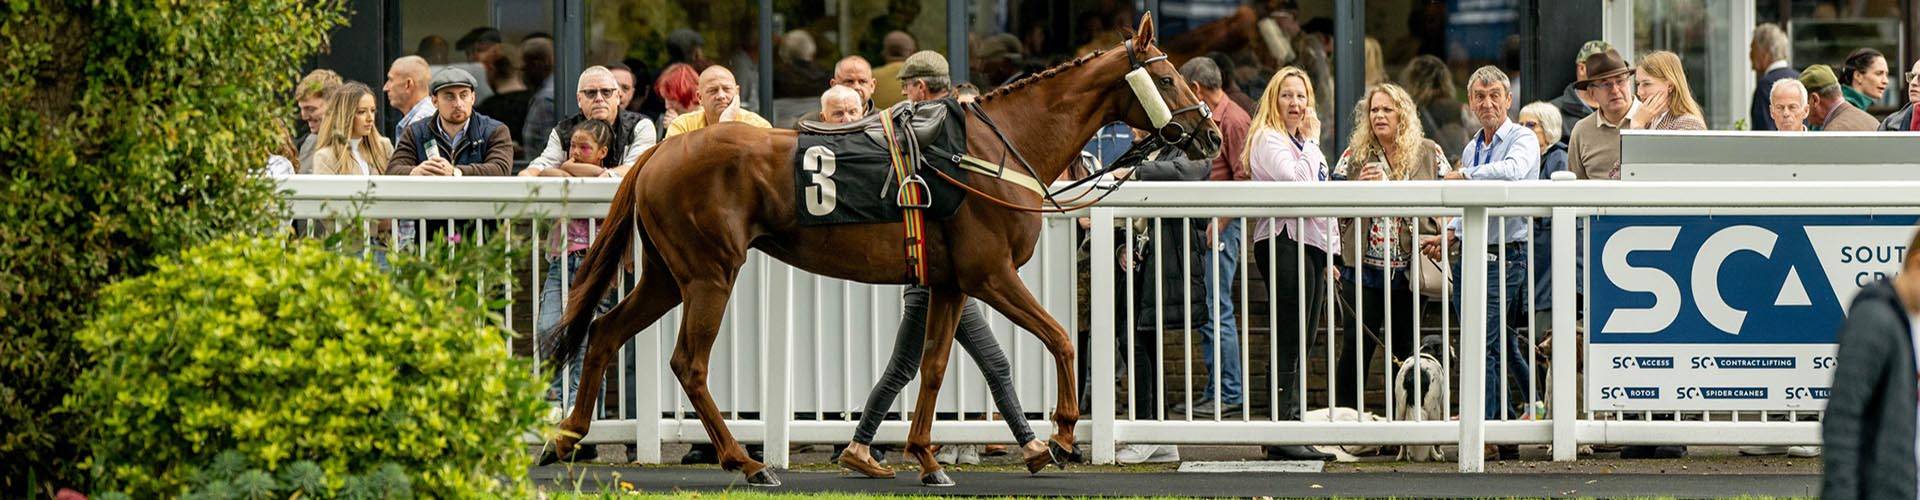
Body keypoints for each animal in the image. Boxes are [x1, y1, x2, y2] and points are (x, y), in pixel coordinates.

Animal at [545, 13, 1213, 486]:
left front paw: (926, 457)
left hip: (666, 274)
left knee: (605, 332)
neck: (990, 151)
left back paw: (566, 437)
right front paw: (1063, 436)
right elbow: (1061, 337)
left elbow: (935, 365)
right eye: (1168, 76)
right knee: (689, 362)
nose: (1207, 131)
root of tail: (660, 151)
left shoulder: (951, 282)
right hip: (710, 273)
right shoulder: (991, 273)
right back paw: (748, 462)